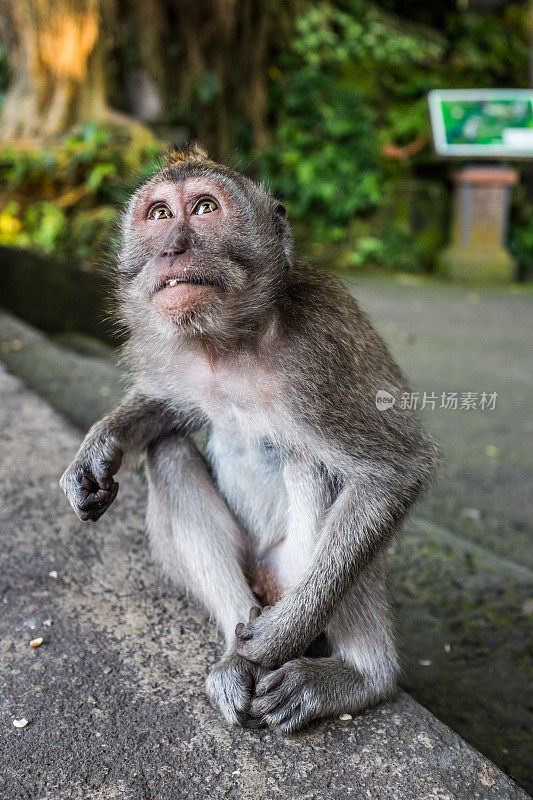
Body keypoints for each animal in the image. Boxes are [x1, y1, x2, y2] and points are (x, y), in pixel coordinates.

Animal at [59, 142, 436, 732]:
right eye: (160, 214)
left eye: (205, 208)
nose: (173, 248)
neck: (231, 342)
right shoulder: (174, 353)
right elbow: (166, 412)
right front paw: (97, 448)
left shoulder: (318, 356)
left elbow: (394, 471)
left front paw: (286, 633)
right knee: (167, 453)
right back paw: (235, 658)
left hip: (289, 570)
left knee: (315, 466)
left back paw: (358, 674)